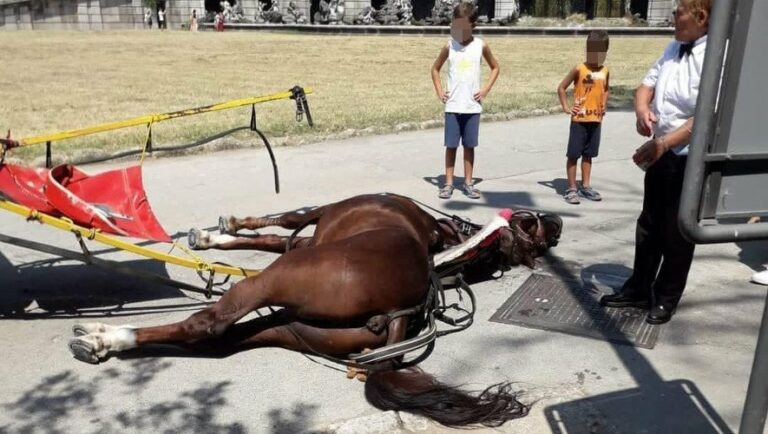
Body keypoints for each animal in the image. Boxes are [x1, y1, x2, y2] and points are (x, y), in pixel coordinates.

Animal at [69, 193, 560, 428]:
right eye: (532, 225)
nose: (556, 222)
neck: (442, 241)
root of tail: (399, 311)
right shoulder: (309, 239)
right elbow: (271, 237)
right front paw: (213, 238)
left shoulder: (317, 220)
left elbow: (284, 221)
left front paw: (220, 231)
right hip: (291, 327)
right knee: (223, 341)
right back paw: (109, 341)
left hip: (274, 281)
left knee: (208, 324)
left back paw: (106, 337)